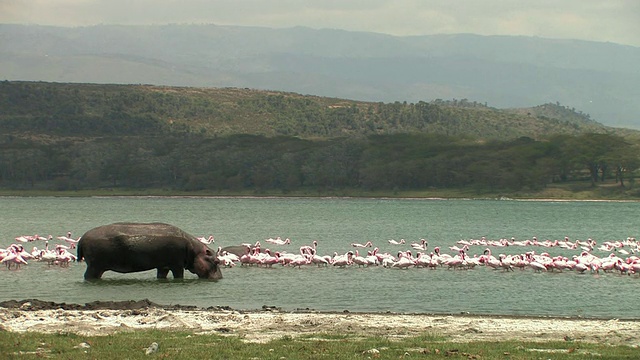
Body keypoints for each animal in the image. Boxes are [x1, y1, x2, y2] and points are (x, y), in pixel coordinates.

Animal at [76, 222, 222, 282]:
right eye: (216, 261)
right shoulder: (177, 265)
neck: (195, 250)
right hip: (95, 266)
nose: (220, 278)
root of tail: (82, 238)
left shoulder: (163, 266)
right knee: (88, 276)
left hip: (97, 266)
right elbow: (179, 276)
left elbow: (161, 275)